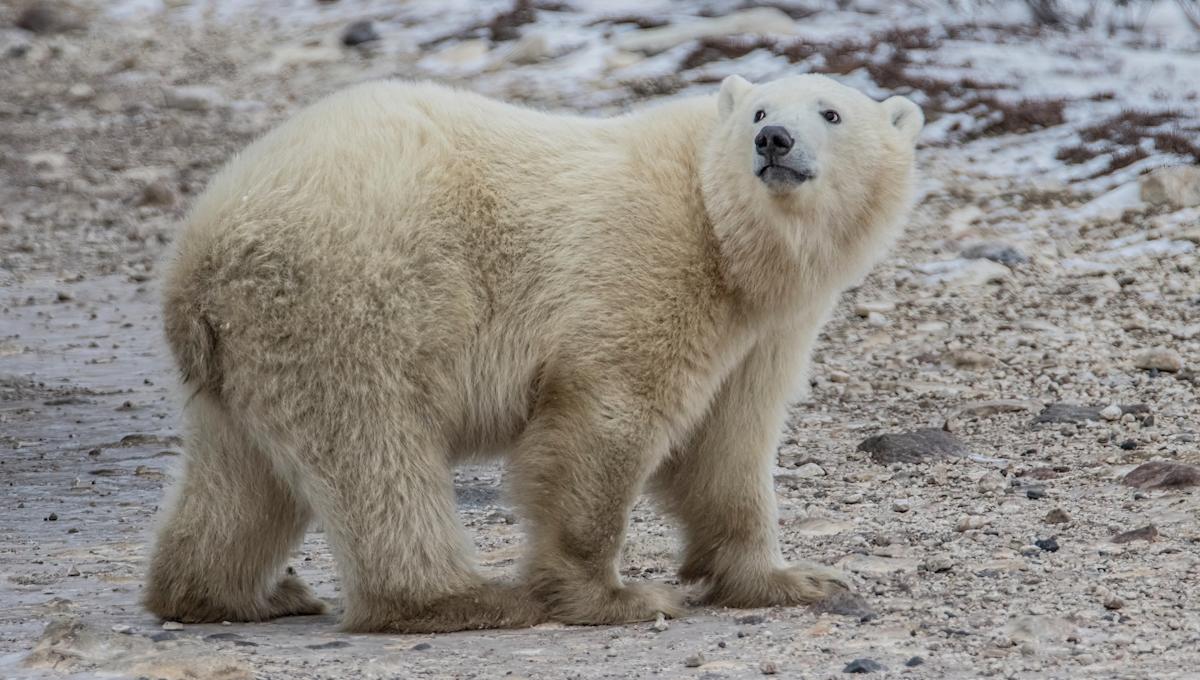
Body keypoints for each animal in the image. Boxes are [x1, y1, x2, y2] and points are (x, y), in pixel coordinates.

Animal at [144, 73, 923, 633]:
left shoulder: (768, 328)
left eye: (831, 113)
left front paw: (795, 580)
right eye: (759, 110)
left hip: (249, 350)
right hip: (350, 297)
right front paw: (616, 596)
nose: (776, 141)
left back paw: (234, 594)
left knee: (240, 474)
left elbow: (729, 444)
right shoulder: (643, 264)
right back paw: (461, 600)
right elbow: (607, 418)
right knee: (375, 448)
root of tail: (198, 250)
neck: (726, 239)